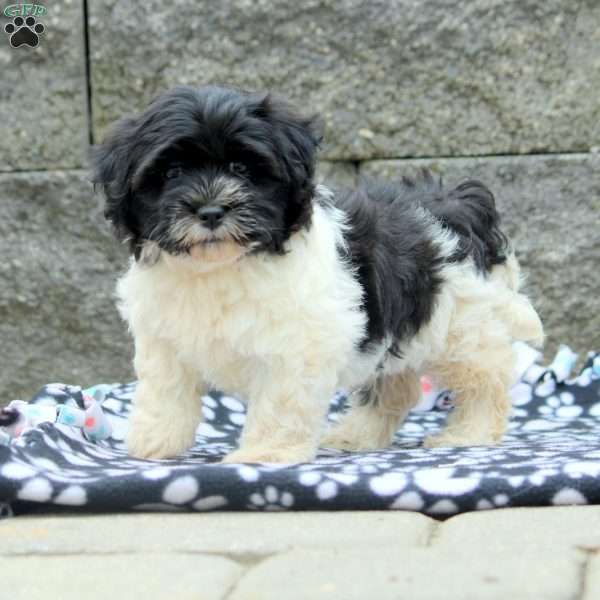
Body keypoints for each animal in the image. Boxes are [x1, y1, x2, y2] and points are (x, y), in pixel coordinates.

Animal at [92, 84, 544, 462]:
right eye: (170, 174)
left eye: (242, 169)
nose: (211, 211)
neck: (222, 265)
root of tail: (459, 205)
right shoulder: (164, 338)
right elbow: (165, 391)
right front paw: (155, 442)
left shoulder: (295, 347)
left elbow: (280, 402)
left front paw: (264, 454)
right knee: (399, 385)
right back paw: (356, 435)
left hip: (460, 323)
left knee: (486, 374)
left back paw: (470, 432)